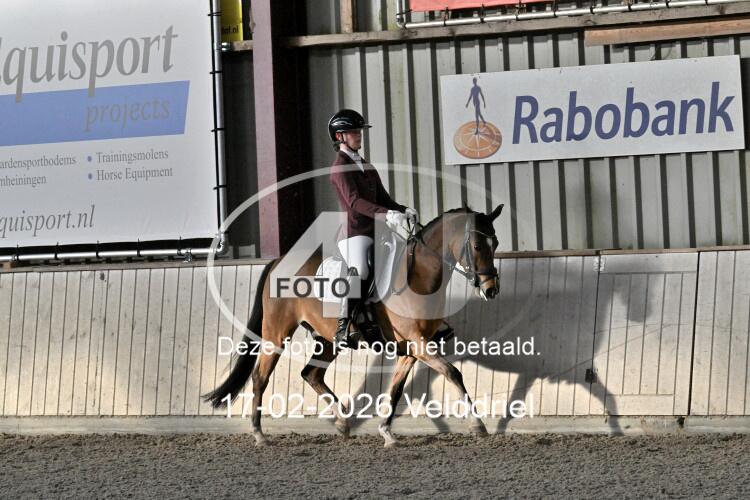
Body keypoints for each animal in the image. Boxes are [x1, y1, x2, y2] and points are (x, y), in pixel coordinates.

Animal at [204, 204, 504, 447]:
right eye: (478, 246)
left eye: (497, 243)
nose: (491, 290)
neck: (418, 276)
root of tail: (278, 261)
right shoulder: (418, 344)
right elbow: (453, 372)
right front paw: (478, 425)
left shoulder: (412, 348)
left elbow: (396, 389)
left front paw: (386, 433)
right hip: (276, 334)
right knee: (260, 377)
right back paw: (259, 434)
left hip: (328, 340)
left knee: (311, 374)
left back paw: (342, 423)